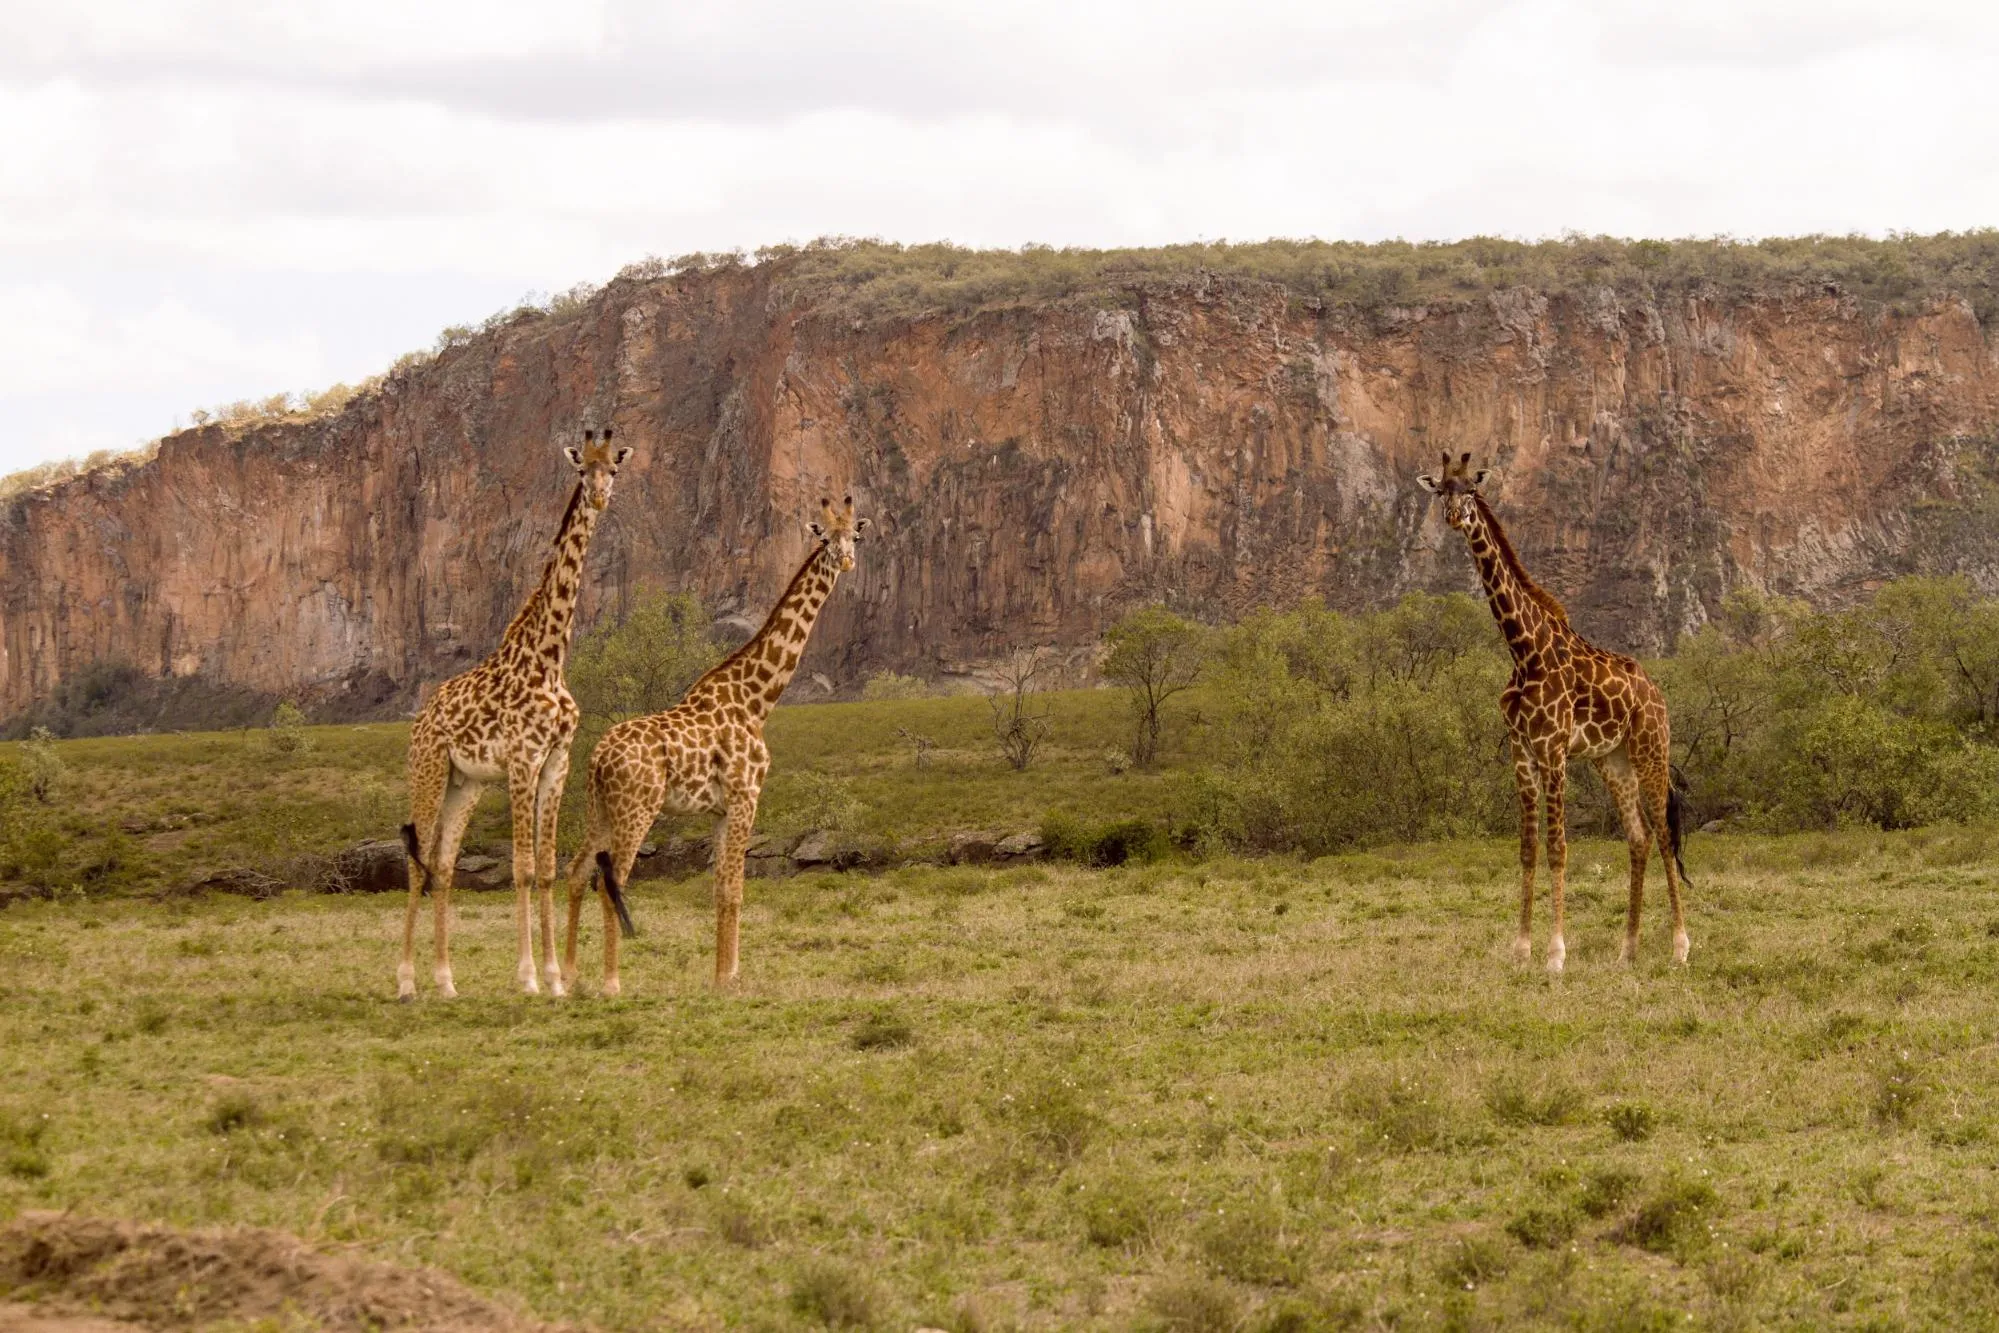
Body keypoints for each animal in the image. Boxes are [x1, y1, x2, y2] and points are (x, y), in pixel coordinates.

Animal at [393, 427, 627, 999]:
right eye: (581, 469)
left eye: (614, 467)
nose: (599, 498)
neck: (550, 657)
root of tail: (421, 718)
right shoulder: (523, 760)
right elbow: (520, 867)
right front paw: (528, 978)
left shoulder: (556, 762)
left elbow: (545, 868)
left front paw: (556, 979)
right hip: (428, 771)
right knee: (416, 862)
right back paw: (406, 982)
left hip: (466, 784)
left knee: (443, 864)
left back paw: (446, 982)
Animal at [567, 495, 871, 995]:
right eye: (825, 539)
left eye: (856, 537)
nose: (846, 561)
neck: (756, 699)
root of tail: (596, 759)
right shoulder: (747, 797)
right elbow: (734, 889)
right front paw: (729, 978)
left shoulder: (719, 809)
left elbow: (719, 890)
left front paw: (721, 974)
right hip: (636, 810)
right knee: (612, 883)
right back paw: (610, 983)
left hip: (598, 810)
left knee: (575, 874)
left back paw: (568, 976)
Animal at [1415, 453, 1695, 975]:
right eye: (1440, 489)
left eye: (1470, 489)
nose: (1453, 517)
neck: (1525, 650)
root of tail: (1657, 692)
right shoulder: (1521, 751)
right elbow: (1528, 849)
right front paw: (1521, 950)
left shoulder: (1555, 751)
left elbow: (1559, 848)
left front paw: (1556, 954)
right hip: (1612, 760)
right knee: (1639, 836)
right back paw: (1627, 950)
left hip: (1651, 748)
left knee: (1665, 834)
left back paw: (1680, 947)